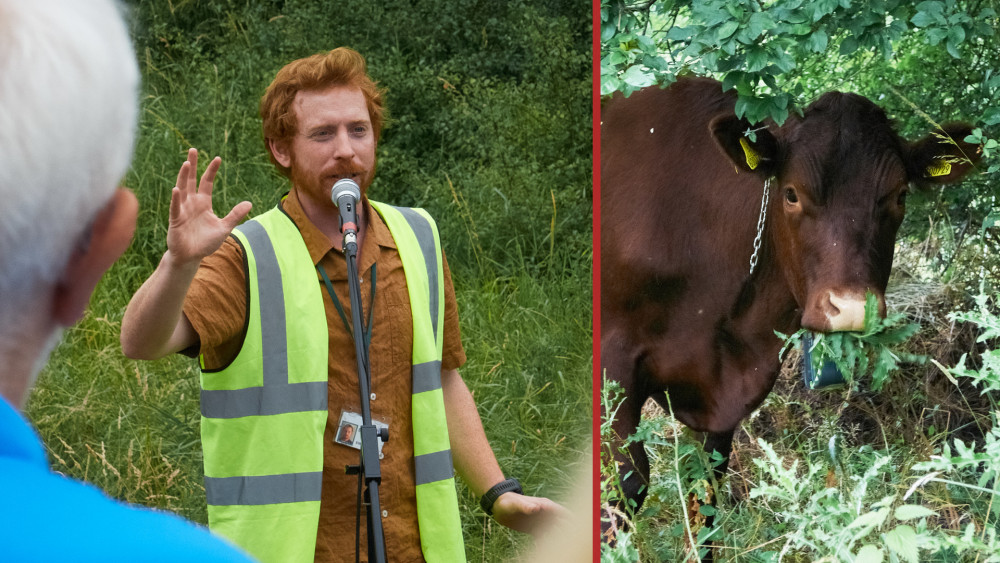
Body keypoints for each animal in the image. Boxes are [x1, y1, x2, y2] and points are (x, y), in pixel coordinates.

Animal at [600, 77, 976, 532]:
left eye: (900, 195)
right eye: (792, 194)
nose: (852, 308)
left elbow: (705, 490)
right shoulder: (614, 360)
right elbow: (625, 485)